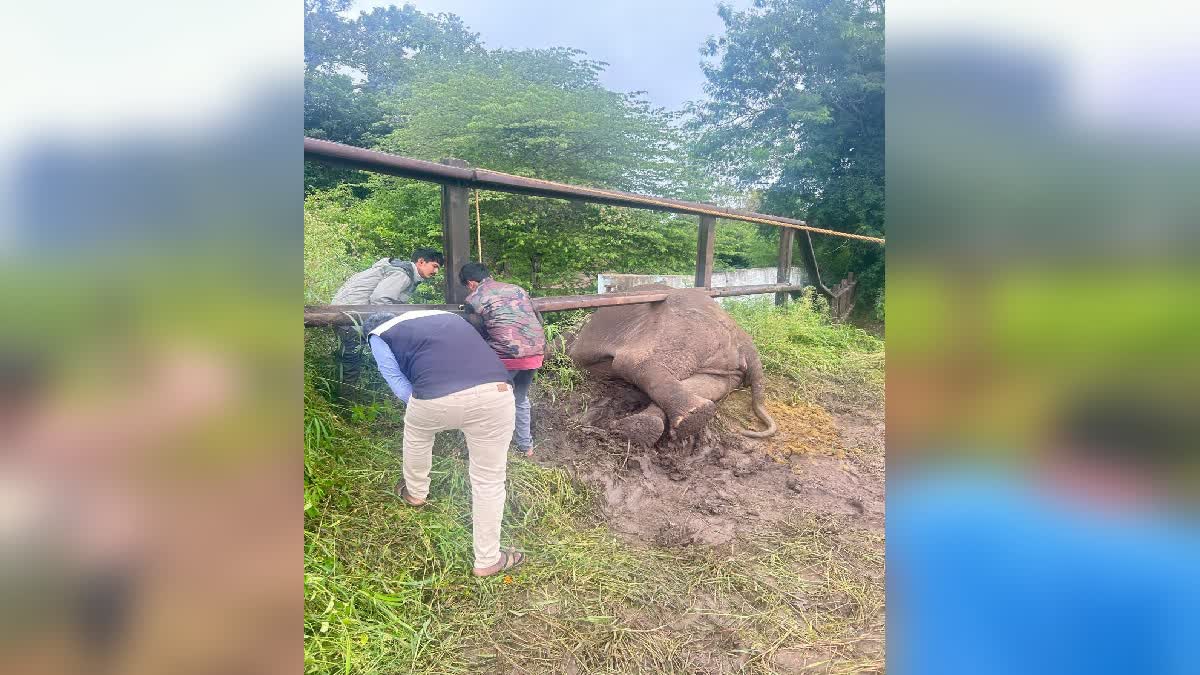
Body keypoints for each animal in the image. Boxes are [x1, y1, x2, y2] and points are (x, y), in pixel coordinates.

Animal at [568, 282, 777, 444]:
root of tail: (746, 343)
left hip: (684, 333)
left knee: (630, 363)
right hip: (726, 370)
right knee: (704, 386)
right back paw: (645, 428)